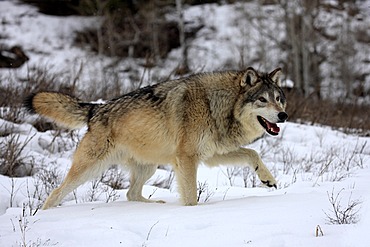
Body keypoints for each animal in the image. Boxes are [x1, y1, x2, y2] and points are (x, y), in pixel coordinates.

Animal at [23, 66, 290, 209]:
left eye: (279, 98)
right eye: (262, 100)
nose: (284, 115)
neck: (217, 105)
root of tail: (96, 109)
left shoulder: (211, 156)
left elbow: (252, 153)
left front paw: (267, 179)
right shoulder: (187, 158)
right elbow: (191, 195)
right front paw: (192, 211)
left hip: (148, 168)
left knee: (131, 194)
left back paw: (155, 206)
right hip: (90, 169)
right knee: (55, 193)